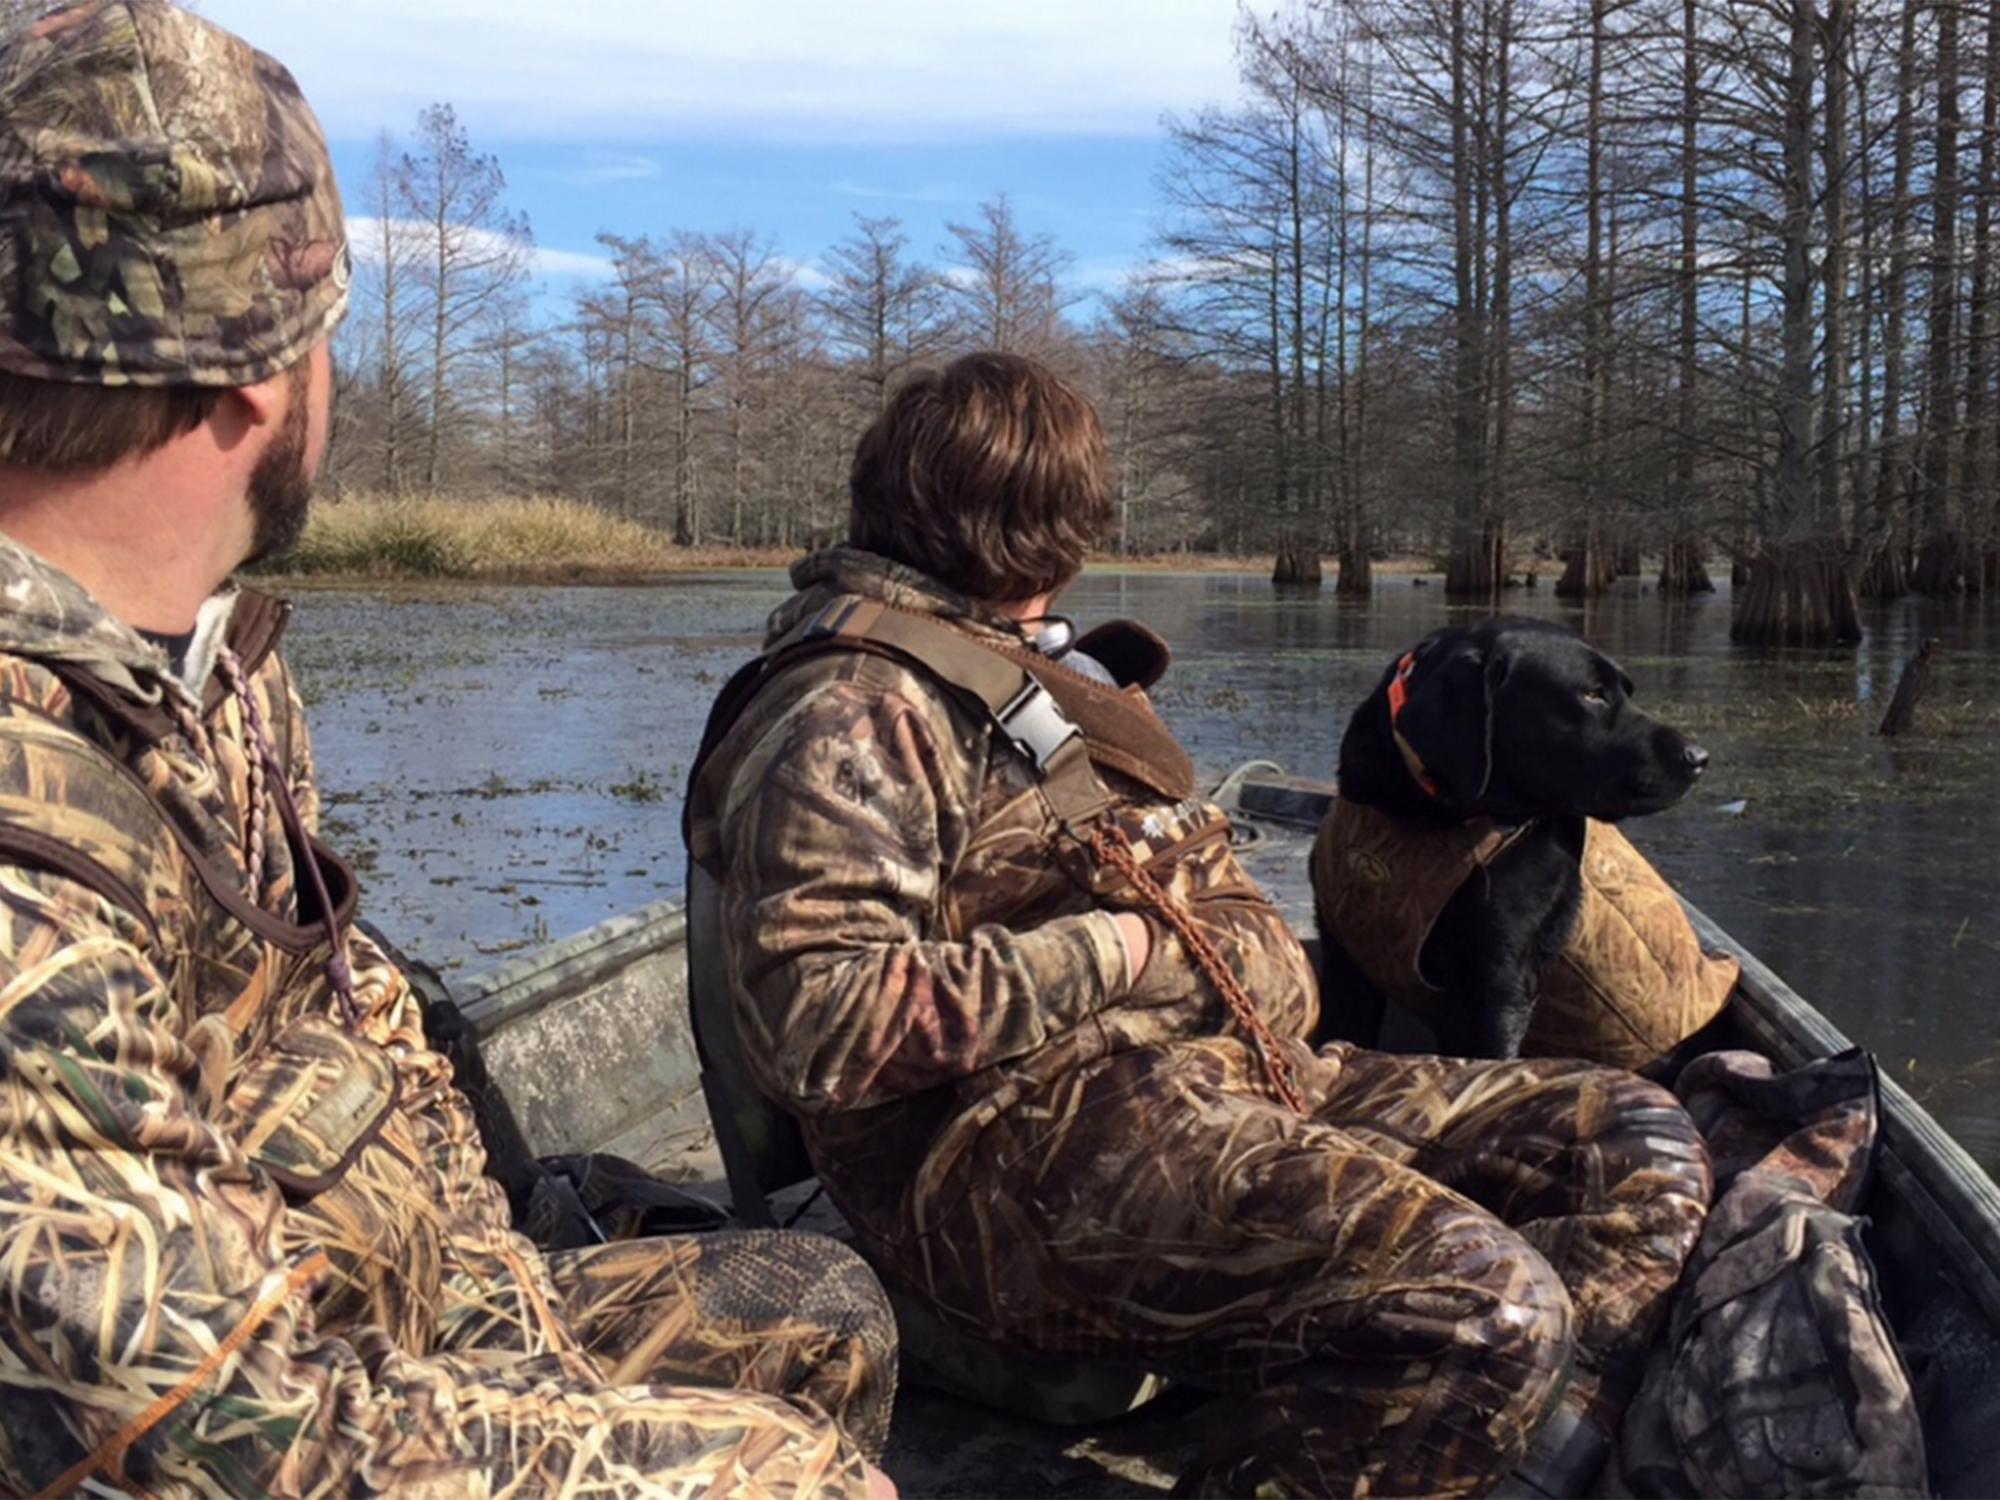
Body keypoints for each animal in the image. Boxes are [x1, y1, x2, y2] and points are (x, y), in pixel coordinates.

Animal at [1320, 616, 1712, 1064]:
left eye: (1624, 691)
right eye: (1592, 693)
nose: (1698, 758)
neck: (1424, 816)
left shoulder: (1498, 987)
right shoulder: (1345, 960)